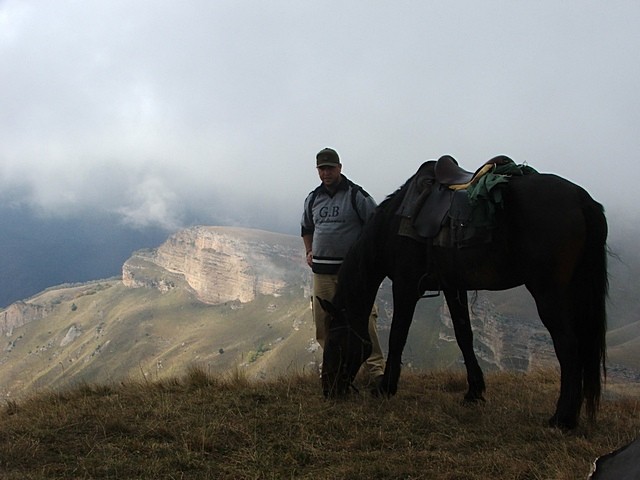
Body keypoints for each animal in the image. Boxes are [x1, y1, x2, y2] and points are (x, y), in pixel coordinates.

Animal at [322, 156, 608, 430]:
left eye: (335, 339)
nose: (328, 390)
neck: (393, 224)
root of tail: (581, 199)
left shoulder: (406, 285)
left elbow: (397, 336)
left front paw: (385, 388)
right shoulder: (453, 286)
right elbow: (463, 336)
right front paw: (474, 391)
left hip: (548, 292)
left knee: (568, 346)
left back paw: (563, 419)